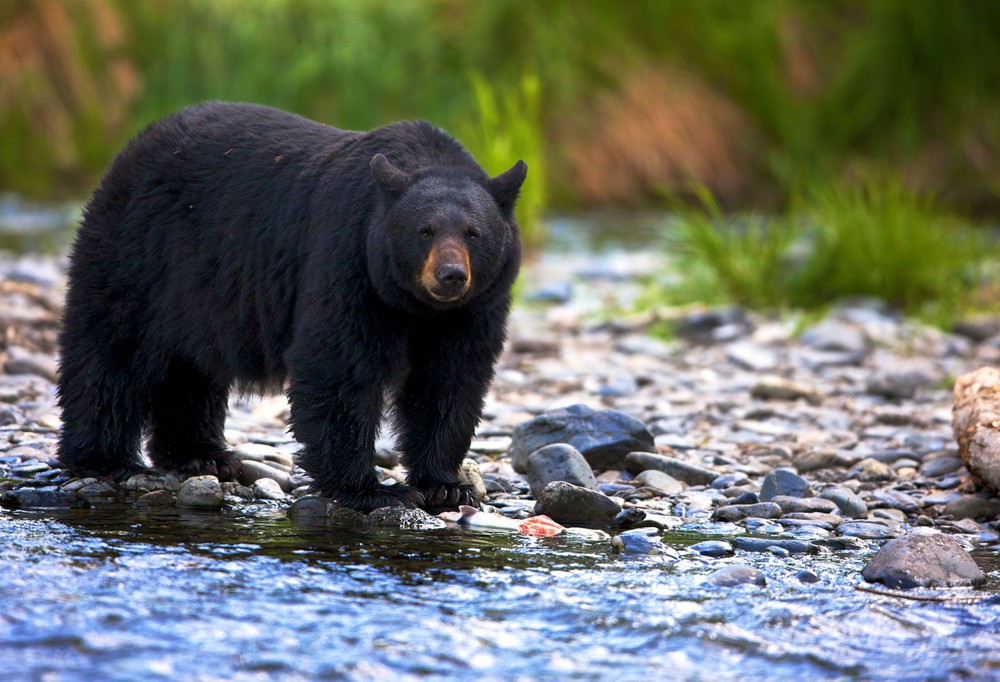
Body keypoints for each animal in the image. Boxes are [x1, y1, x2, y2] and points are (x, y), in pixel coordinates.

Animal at [55, 101, 528, 510]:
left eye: (473, 233)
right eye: (424, 231)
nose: (451, 275)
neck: (416, 306)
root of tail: (136, 145)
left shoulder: (474, 308)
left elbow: (449, 381)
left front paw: (444, 485)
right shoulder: (348, 259)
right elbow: (340, 366)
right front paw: (372, 490)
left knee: (191, 369)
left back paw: (201, 455)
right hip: (140, 251)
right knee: (112, 351)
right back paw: (103, 458)